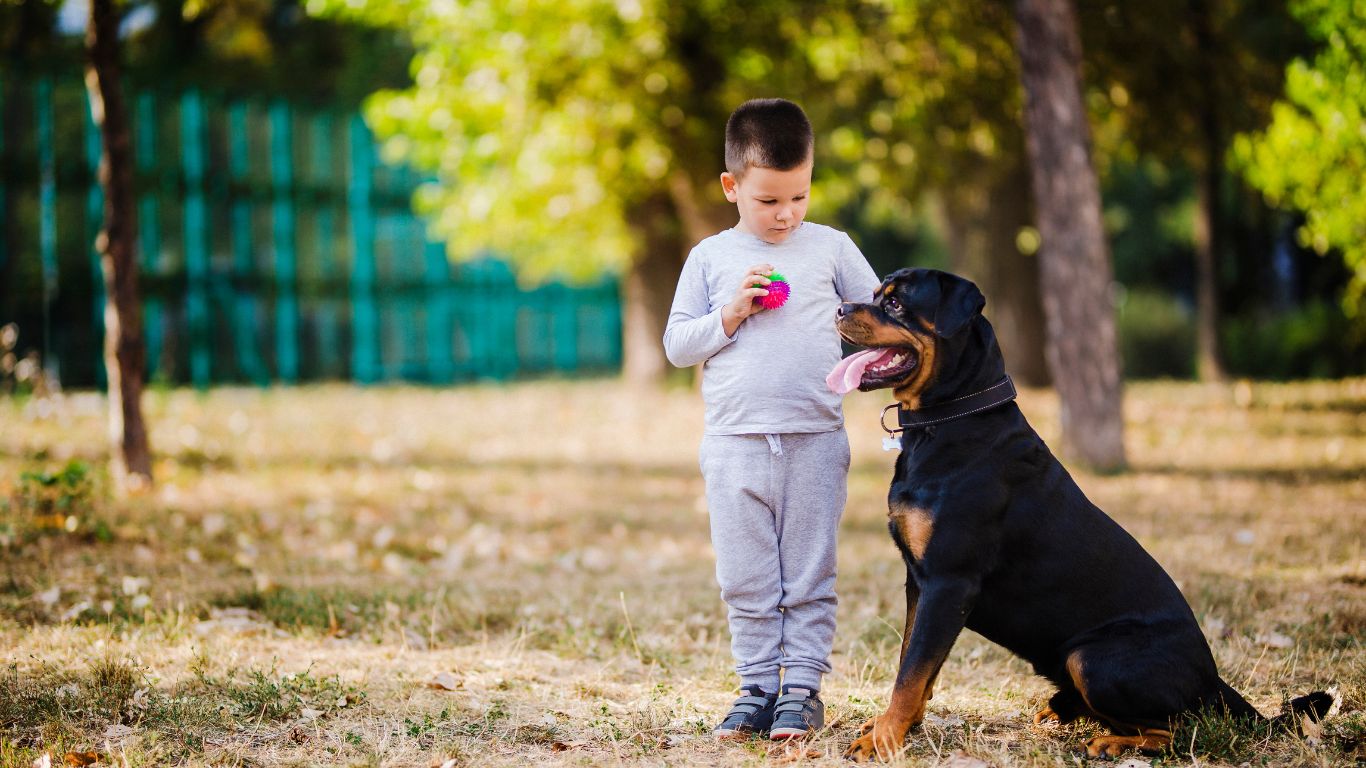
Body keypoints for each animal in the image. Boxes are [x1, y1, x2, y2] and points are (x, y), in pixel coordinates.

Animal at [830, 266, 1333, 754]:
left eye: (896, 303)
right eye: (874, 295)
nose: (839, 308)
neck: (951, 421)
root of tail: (1214, 683)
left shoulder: (949, 581)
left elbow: (912, 673)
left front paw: (882, 741)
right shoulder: (919, 580)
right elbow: (914, 664)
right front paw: (896, 727)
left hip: (1090, 658)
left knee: (1181, 729)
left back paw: (1111, 742)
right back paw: (1062, 710)